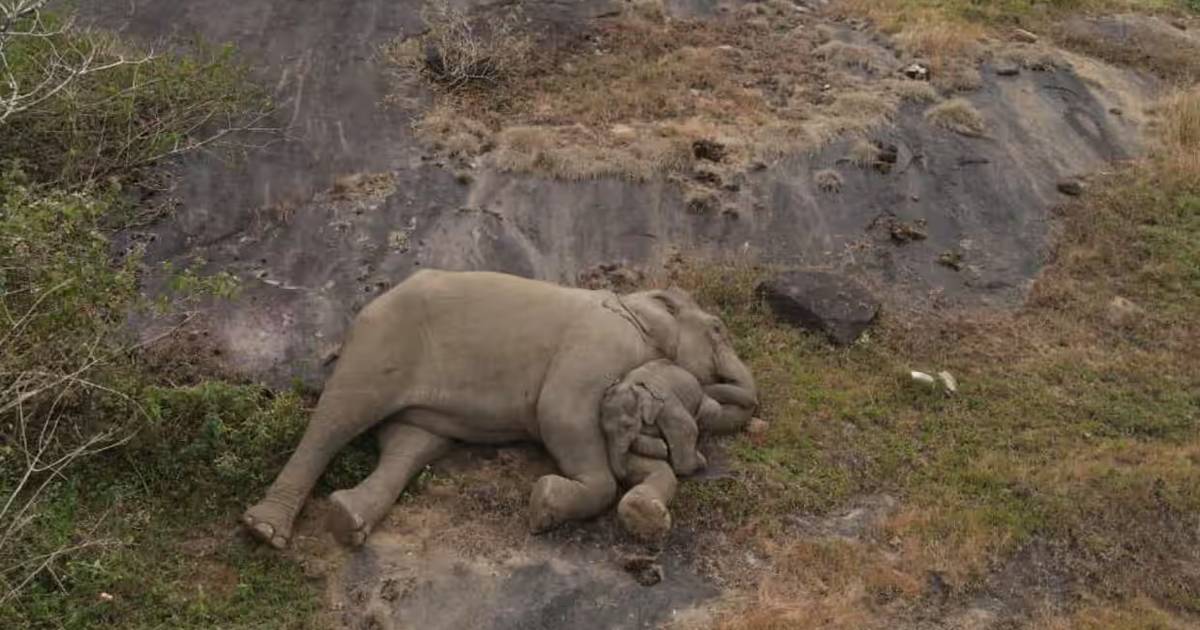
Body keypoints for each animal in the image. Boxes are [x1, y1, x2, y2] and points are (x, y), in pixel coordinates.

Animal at [600, 357, 720, 540]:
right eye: (604, 432)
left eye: (627, 426)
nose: (623, 481)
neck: (631, 384)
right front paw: (663, 448)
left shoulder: (667, 403)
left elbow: (686, 428)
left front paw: (698, 464)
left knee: (711, 412)